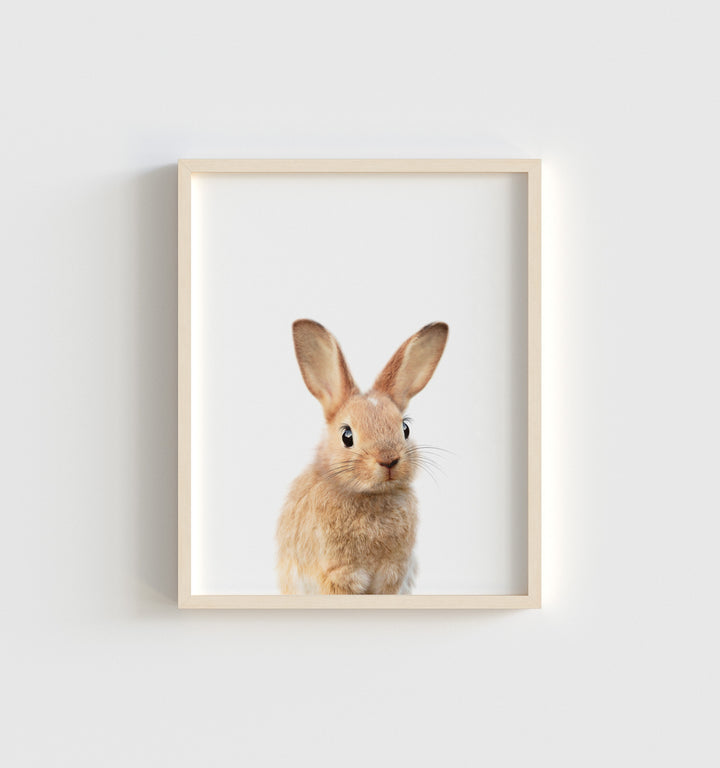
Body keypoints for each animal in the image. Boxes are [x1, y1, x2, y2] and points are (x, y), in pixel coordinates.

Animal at [276, 319, 448, 595]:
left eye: (405, 428)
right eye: (347, 435)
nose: (388, 460)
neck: (371, 496)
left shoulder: (393, 575)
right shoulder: (338, 575)